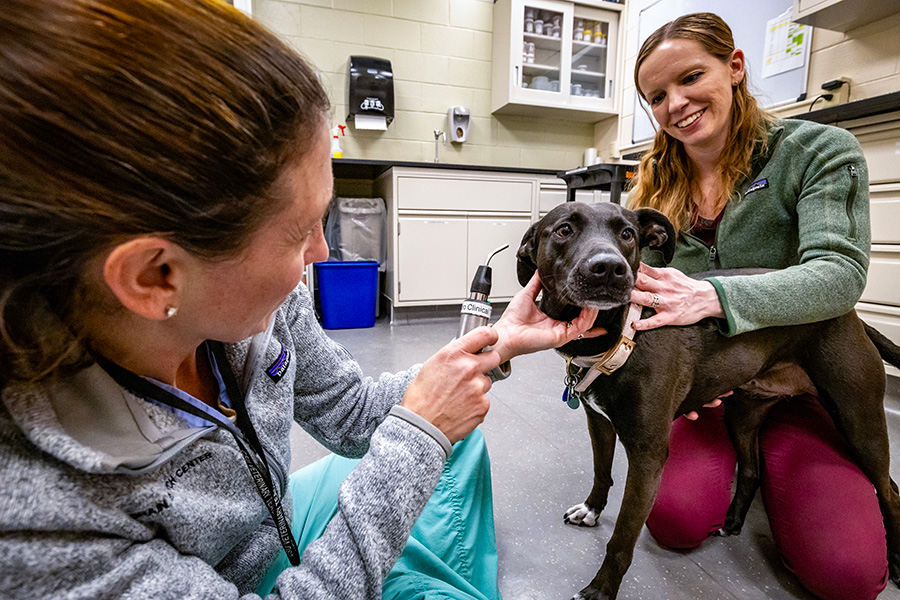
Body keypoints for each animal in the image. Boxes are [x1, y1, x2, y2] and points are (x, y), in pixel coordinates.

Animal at [512, 202, 900, 600]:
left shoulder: (649, 456)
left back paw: (897, 560)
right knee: (751, 470)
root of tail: (854, 315)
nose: (609, 267)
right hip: (743, 414)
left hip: (858, 420)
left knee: (890, 490)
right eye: (563, 230)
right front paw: (591, 510)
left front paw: (601, 589)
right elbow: (601, 472)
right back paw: (732, 521)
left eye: (627, 234)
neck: (617, 334)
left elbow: (622, 538)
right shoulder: (599, 423)